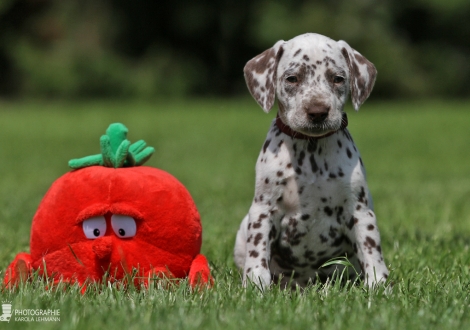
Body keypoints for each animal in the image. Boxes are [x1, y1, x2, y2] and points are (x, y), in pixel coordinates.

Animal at [234, 32, 390, 288]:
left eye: (337, 79)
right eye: (292, 78)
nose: (318, 112)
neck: (311, 151)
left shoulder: (360, 211)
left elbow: (371, 251)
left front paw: (378, 285)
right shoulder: (263, 210)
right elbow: (258, 251)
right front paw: (256, 284)